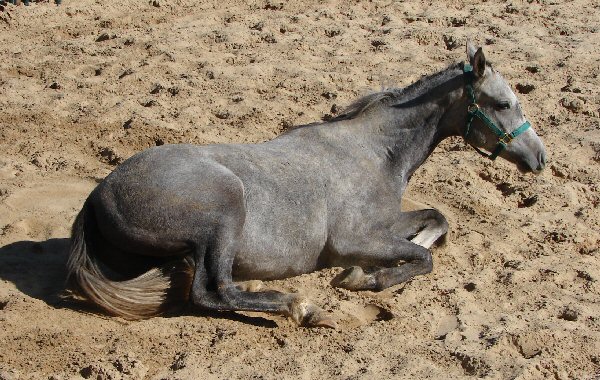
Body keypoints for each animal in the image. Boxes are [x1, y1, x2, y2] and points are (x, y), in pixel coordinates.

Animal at [67, 40, 548, 326]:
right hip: (224, 214)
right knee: (211, 292)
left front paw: (408, 247)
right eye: (503, 103)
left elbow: (437, 221)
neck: (375, 152)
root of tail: (97, 197)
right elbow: (421, 259)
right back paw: (298, 306)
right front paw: (362, 278)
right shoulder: (352, 239)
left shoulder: (386, 223)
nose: (540, 158)